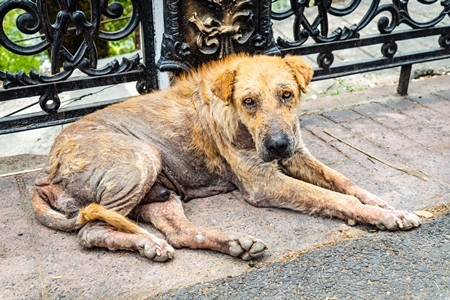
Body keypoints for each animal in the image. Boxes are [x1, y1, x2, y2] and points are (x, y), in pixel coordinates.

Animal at [32, 54, 422, 262]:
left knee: (178, 233)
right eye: (249, 101)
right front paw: (379, 216)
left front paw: (383, 205)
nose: (278, 145)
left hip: (161, 194)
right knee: (90, 230)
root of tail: (47, 173)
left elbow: (344, 181)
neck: (240, 124)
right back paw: (148, 243)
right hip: (141, 158)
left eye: (287, 94)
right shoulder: (265, 183)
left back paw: (233, 243)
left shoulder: (298, 155)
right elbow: (333, 197)